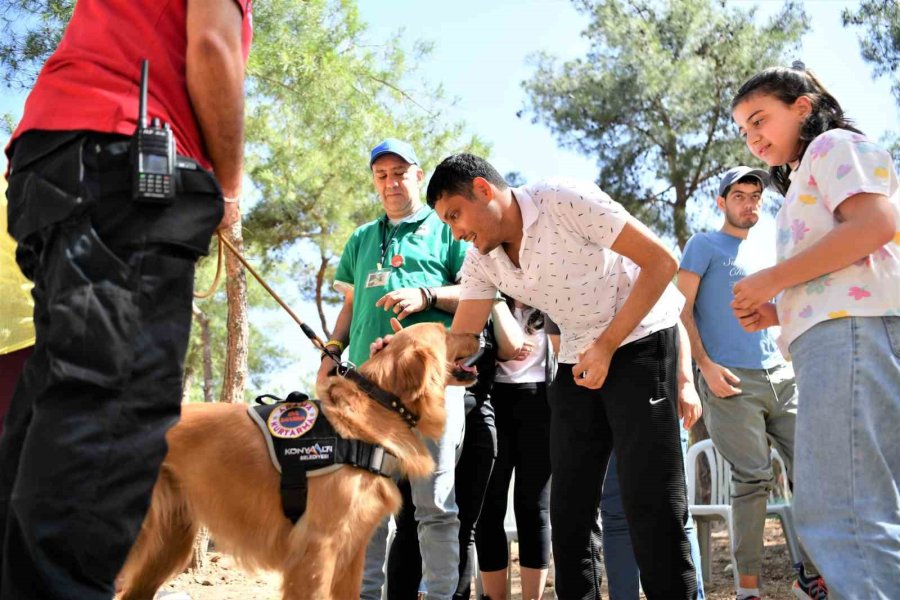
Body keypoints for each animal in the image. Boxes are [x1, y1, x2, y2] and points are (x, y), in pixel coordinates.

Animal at [117, 322, 482, 596]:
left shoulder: (352, 551)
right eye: (445, 331)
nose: (480, 333)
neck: (373, 408)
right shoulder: (317, 547)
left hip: (168, 544)